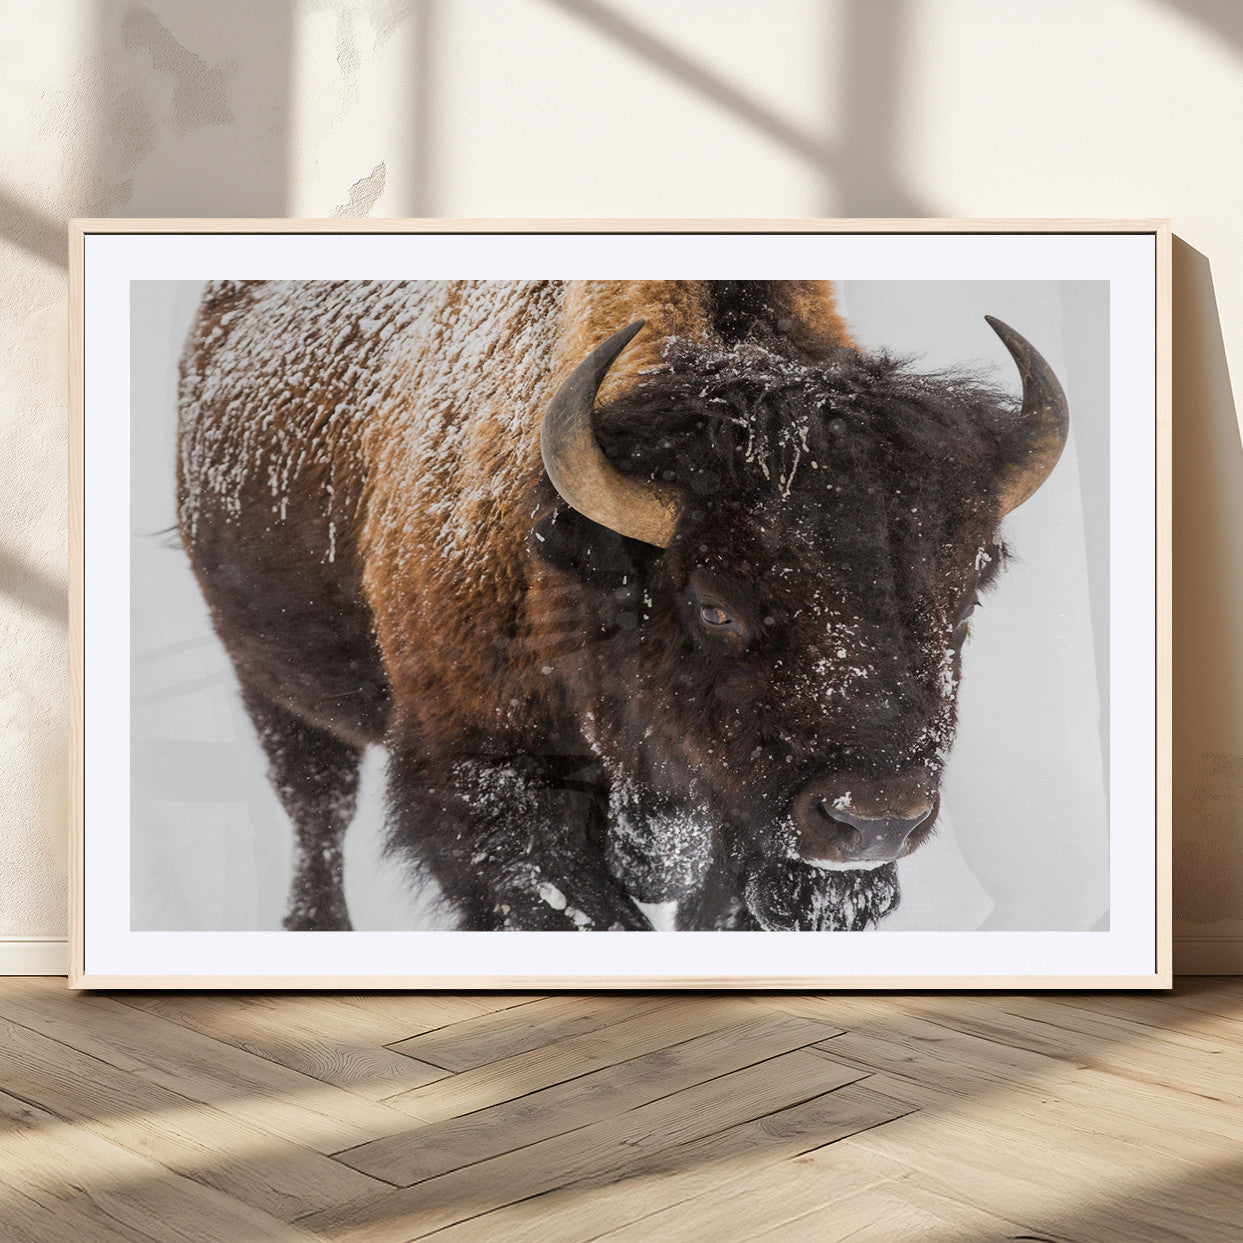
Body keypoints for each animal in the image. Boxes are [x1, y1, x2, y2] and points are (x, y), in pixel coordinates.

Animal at [176, 279, 1067, 932]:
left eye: (966, 591)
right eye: (714, 606)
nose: (875, 817)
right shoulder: (491, 788)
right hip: (272, 681)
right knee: (316, 809)